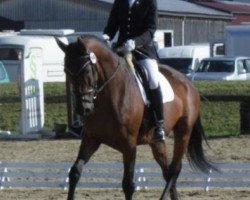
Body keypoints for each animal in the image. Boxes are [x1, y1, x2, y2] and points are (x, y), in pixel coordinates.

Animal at [56, 36, 217, 200]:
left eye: (87, 70)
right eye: (66, 71)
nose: (83, 108)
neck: (108, 96)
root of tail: (189, 83)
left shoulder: (129, 145)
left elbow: (128, 184)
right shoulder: (91, 138)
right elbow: (75, 172)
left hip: (183, 133)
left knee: (175, 169)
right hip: (156, 142)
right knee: (167, 171)